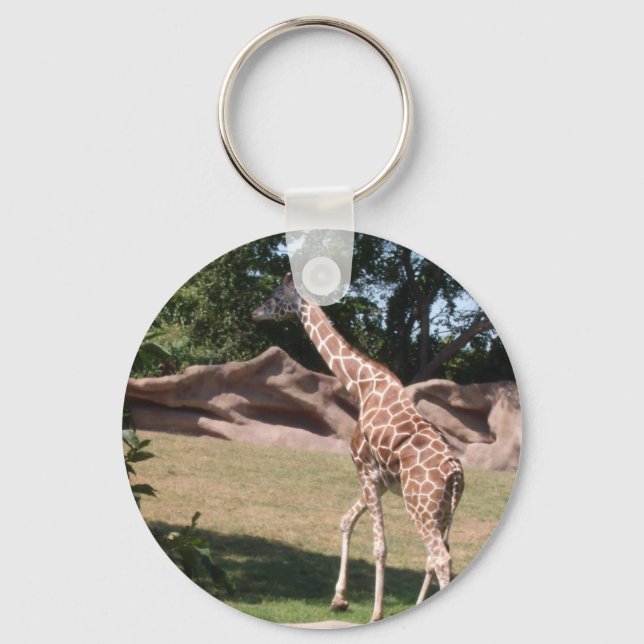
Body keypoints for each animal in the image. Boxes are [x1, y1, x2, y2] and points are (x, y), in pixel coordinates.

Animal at [252, 274, 464, 622]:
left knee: (439, 557)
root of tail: (456, 474)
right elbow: (346, 520)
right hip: (445, 511)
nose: (255, 313)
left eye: (275, 296)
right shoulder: (380, 480)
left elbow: (380, 547)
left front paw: (375, 613)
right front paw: (339, 599)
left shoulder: (364, 469)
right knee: (437, 556)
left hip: (420, 506)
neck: (362, 385)